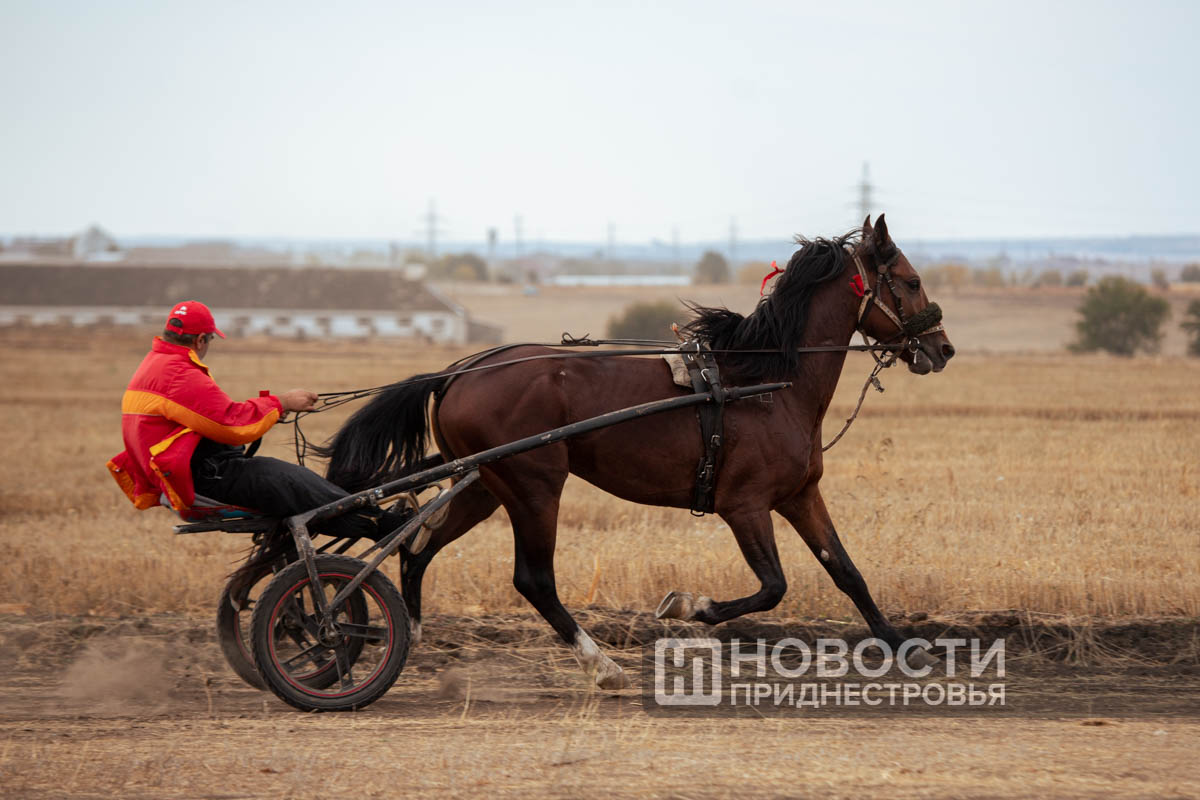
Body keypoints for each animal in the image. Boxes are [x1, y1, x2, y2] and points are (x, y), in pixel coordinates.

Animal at [319, 214, 955, 690]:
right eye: (911, 278)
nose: (943, 348)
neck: (769, 383)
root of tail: (458, 372)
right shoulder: (744, 505)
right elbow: (773, 586)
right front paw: (687, 606)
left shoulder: (799, 495)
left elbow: (848, 573)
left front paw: (912, 651)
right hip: (533, 484)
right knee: (533, 579)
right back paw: (601, 666)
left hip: (481, 483)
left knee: (417, 549)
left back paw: (414, 636)